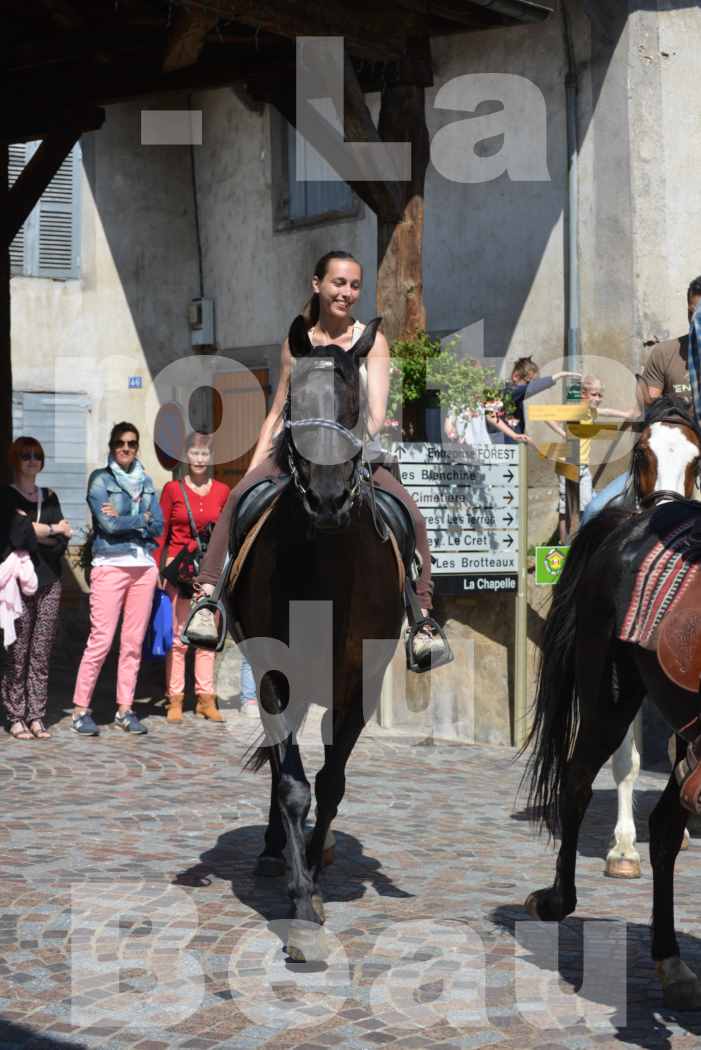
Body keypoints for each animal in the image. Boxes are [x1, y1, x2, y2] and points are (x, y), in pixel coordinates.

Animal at [230, 310, 402, 961]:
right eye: (294, 398)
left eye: (351, 400)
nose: (328, 494)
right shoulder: (273, 674)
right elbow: (293, 785)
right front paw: (302, 903)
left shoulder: (362, 681)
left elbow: (329, 782)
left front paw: (315, 869)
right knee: (282, 765)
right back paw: (275, 851)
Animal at [522, 396, 701, 1003]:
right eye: (641, 453)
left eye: (699, 458)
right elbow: (626, 767)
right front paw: (622, 852)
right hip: (610, 694)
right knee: (579, 778)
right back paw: (560, 898)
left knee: (665, 820)